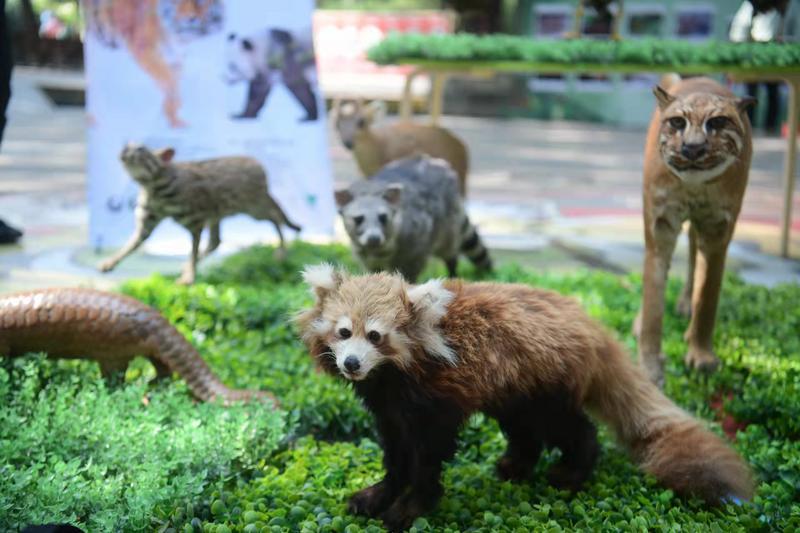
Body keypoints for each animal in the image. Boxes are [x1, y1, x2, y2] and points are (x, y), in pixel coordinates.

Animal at [99, 141, 300, 282]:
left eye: (141, 149)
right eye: (127, 145)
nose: (124, 150)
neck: (151, 187)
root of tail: (259, 164)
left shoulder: (195, 220)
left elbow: (193, 250)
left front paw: (189, 277)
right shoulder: (147, 222)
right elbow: (131, 244)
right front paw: (110, 262)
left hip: (253, 209)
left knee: (276, 217)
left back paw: (282, 252)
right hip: (218, 214)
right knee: (215, 242)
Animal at [296, 264, 756, 528]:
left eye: (376, 336)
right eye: (343, 332)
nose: (352, 363)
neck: (393, 377)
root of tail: (593, 326)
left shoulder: (437, 398)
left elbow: (428, 455)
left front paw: (412, 506)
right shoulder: (389, 408)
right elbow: (395, 453)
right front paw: (378, 494)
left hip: (549, 383)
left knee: (572, 428)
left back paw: (572, 472)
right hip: (514, 388)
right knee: (523, 429)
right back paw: (516, 465)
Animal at [334, 155, 490, 282]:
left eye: (383, 217)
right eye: (359, 219)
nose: (374, 238)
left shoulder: (416, 239)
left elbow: (412, 268)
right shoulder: (364, 254)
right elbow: (373, 270)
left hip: (448, 219)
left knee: (448, 248)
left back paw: (452, 268)